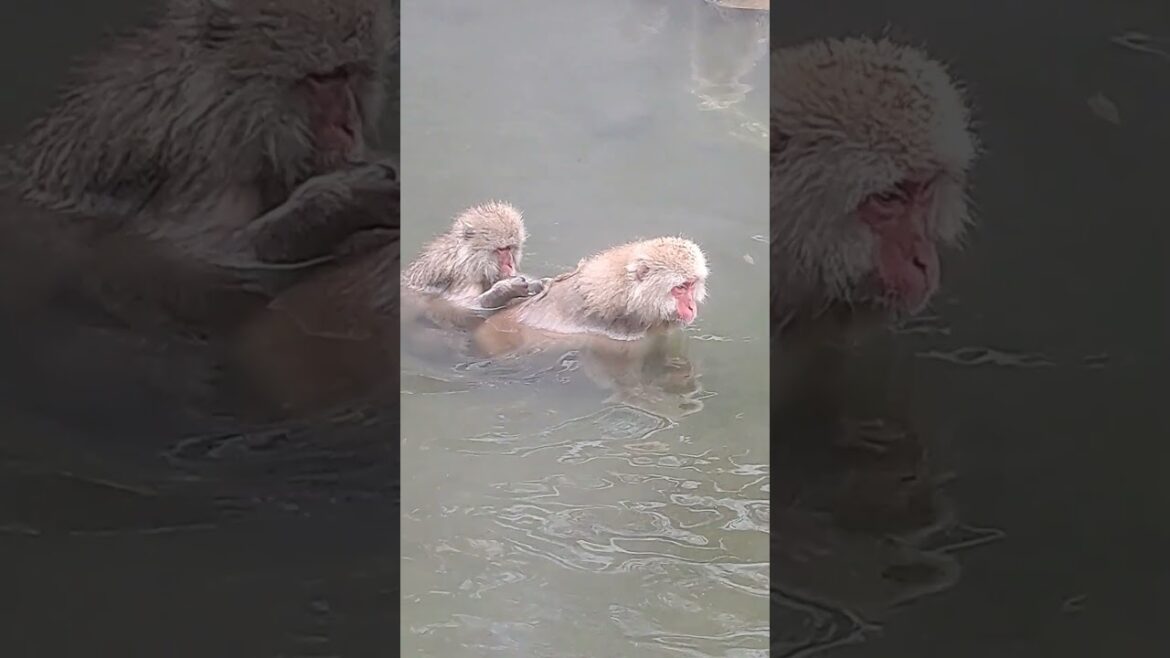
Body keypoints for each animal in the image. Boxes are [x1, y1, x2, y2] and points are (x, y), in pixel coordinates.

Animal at [0, 0, 399, 335]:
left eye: (353, 72)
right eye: (323, 77)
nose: (349, 126)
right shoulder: (204, 164)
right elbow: (179, 262)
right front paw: (337, 203)